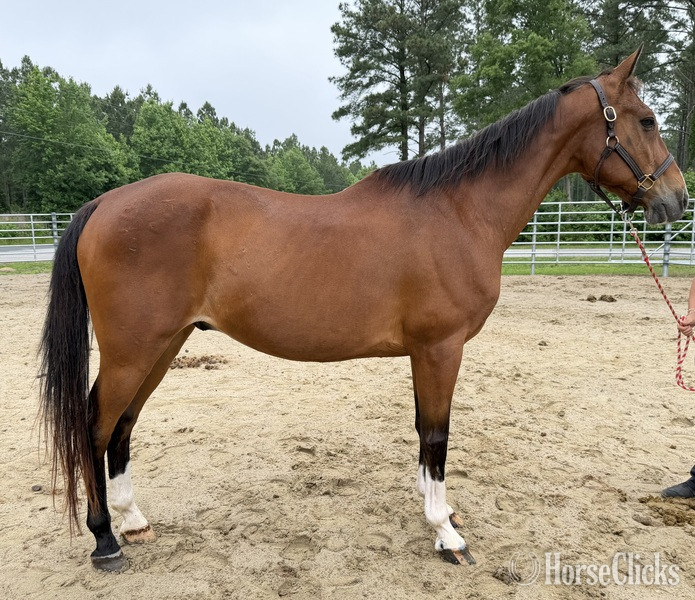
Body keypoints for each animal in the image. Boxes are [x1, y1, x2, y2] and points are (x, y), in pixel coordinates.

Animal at [39, 48, 688, 571]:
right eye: (647, 120)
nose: (676, 198)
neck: (459, 211)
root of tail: (102, 204)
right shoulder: (440, 348)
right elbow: (437, 436)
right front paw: (447, 534)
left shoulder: (425, 353)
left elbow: (424, 434)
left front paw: (436, 513)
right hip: (134, 349)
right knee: (94, 424)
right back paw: (104, 541)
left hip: (164, 344)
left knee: (121, 426)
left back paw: (133, 522)